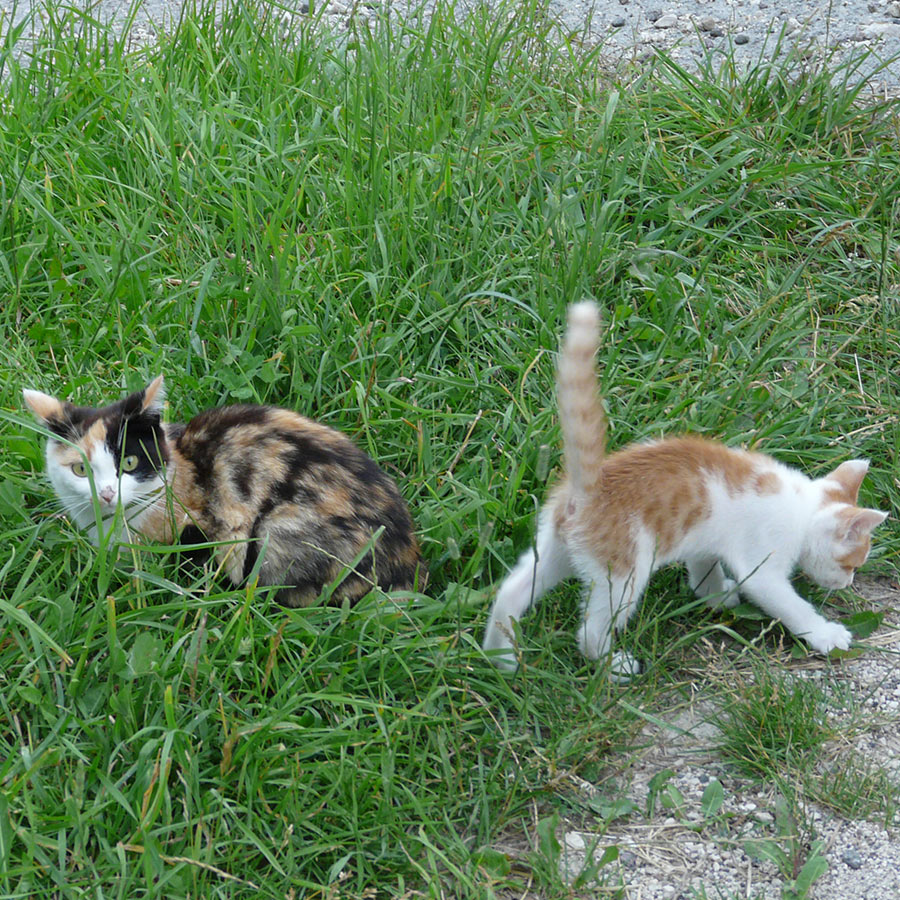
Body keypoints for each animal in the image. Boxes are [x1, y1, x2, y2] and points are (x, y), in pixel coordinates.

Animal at [23, 376, 426, 608]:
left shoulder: (202, 526)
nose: (107, 494)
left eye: (131, 463)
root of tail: (408, 560)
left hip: (278, 533)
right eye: (80, 469)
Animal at [486, 302, 884, 676]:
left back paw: (499, 656)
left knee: (511, 590)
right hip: (623, 573)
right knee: (590, 629)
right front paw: (826, 634)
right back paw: (611, 665)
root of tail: (593, 483)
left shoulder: (704, 540)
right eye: (851, 564)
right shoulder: (764, 565)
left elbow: (704, 569)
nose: (848, 583)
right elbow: (789, 604)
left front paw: (715, 595)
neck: (803, 507)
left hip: (558, 550)